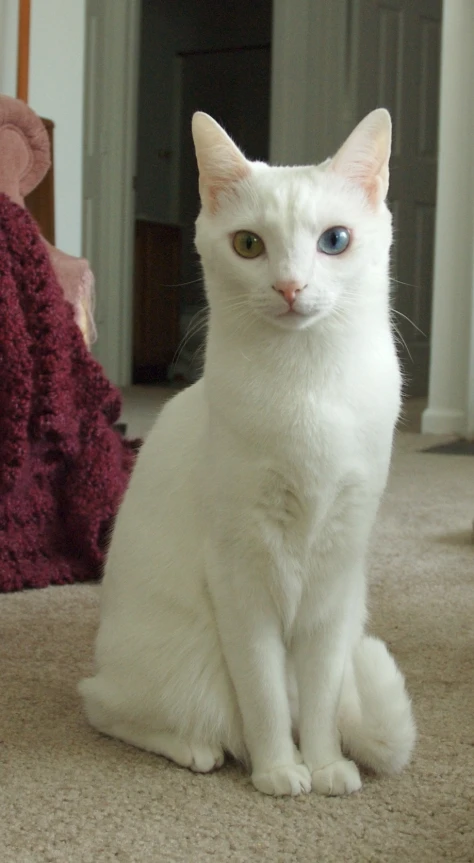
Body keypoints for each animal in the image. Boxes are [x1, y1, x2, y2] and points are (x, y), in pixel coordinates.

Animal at [80, 111, 414, 800]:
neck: (307, 390)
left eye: (334, 240)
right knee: (104, 706)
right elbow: (264, 695)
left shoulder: (334, 574)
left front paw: (323, 765)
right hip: (186, 668)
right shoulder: (242, 574)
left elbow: (317, 696)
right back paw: (194, 750)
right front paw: (279, 770)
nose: (290, 286)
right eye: (249, 245)